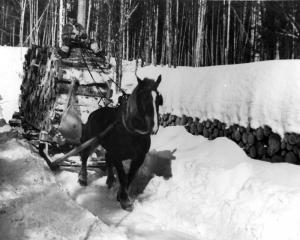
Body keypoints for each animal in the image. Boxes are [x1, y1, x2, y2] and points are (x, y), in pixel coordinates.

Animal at [77, 74, 162, 210]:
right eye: (143, 98)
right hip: (92, 140)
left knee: (107, 157)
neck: (132, 132)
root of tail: (93, 113)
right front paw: (124, 200)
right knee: (84, 156)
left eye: (159, 99)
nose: (153, 128)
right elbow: (122, 176)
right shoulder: (117, 155)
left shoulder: (139, 157)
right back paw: (83, 178)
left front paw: (121, 195)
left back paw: (110, 180)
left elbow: (130, 177)